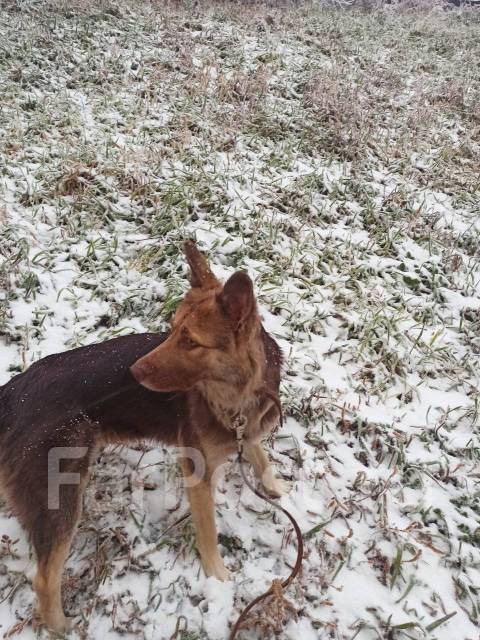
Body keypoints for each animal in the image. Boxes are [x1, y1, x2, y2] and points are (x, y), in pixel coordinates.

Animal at [0, 242, 284, 632]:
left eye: (190, 341)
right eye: (172, 329)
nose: (133, 372)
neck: (239, 393)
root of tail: (13, 393)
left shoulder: (248, 431)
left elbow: (259, 452)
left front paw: (273, 485)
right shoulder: (197, 472)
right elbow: (208, 529)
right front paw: (217, 575)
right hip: (61, 493)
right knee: (44, 579)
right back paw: (62, 627)